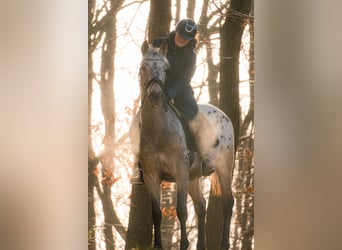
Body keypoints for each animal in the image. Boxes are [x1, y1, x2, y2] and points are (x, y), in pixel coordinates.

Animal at [131, 40, 235, 249]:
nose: (156, 95)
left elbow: (181, 210)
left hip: (224, 168)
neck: (158, 130)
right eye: (143, 68)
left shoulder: (180, 172)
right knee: (201, 206)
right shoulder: (151, 176)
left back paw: (224, 244)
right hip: (194, 175)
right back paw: (201, 245)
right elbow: (156, 213)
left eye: (165, 69)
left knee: (227, 204)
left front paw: (184, 244)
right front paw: (158, 245)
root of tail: (223, 114)